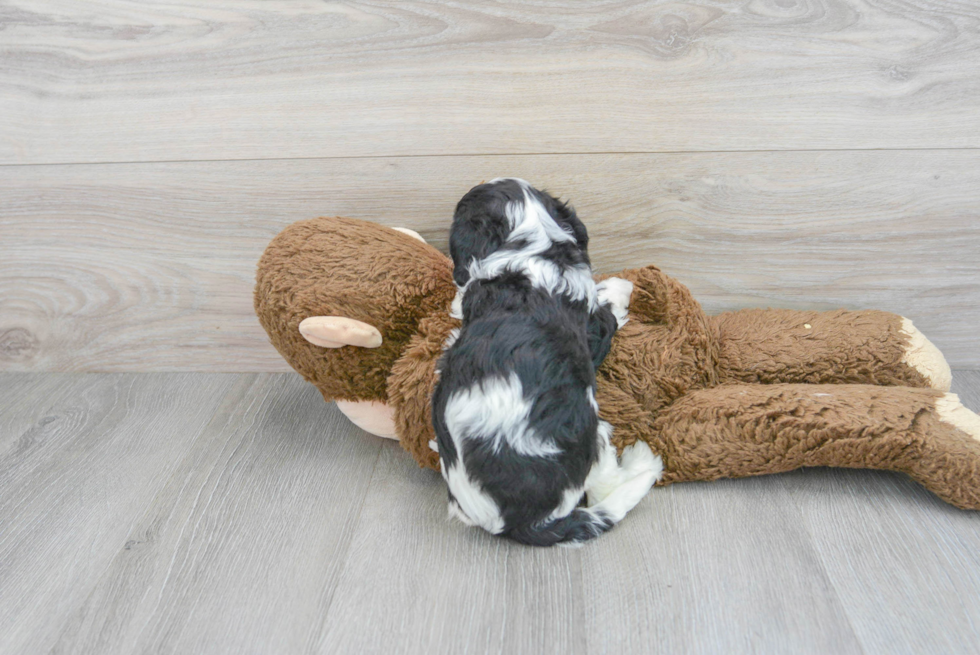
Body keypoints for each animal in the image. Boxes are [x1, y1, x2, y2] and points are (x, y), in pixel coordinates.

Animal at [432, 177, 664, 544]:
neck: (529, 242)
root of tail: (515, 522)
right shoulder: (594, 323)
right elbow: (608, 308)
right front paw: (621, 288)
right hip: (594, 432)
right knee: (603, 486)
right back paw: (643, 463)